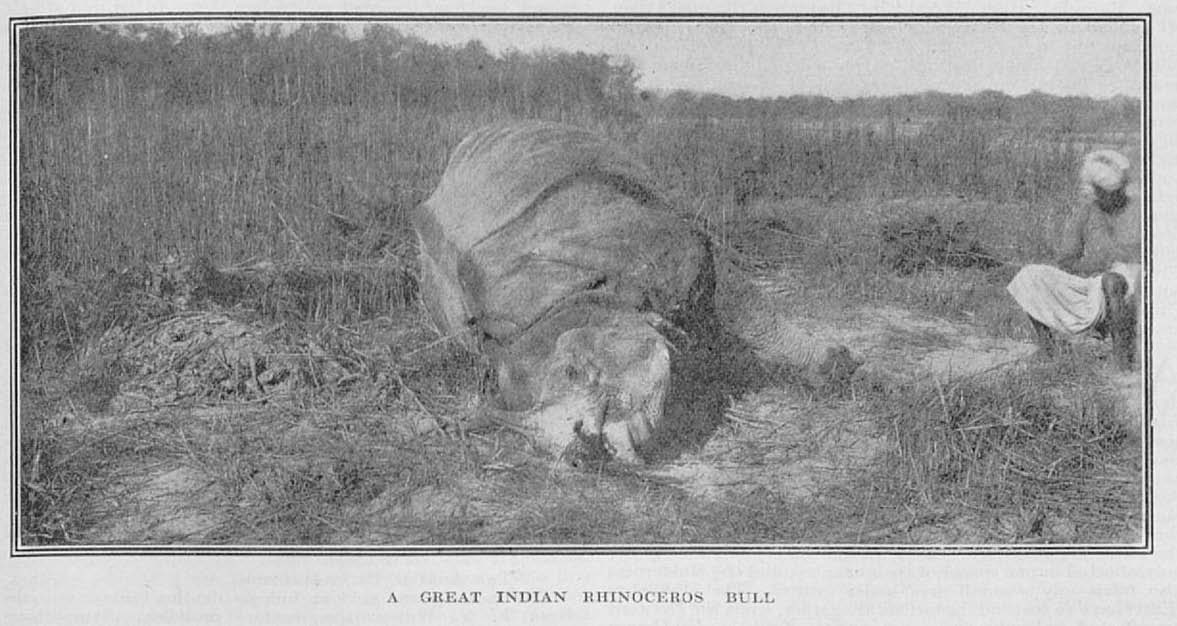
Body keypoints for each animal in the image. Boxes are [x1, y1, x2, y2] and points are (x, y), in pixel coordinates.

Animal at [413, 121, 859, 467]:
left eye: (576, 371)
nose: (581, 453)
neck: (586, 299)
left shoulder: (682, 247)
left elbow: (748, 310)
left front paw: (839, 370)